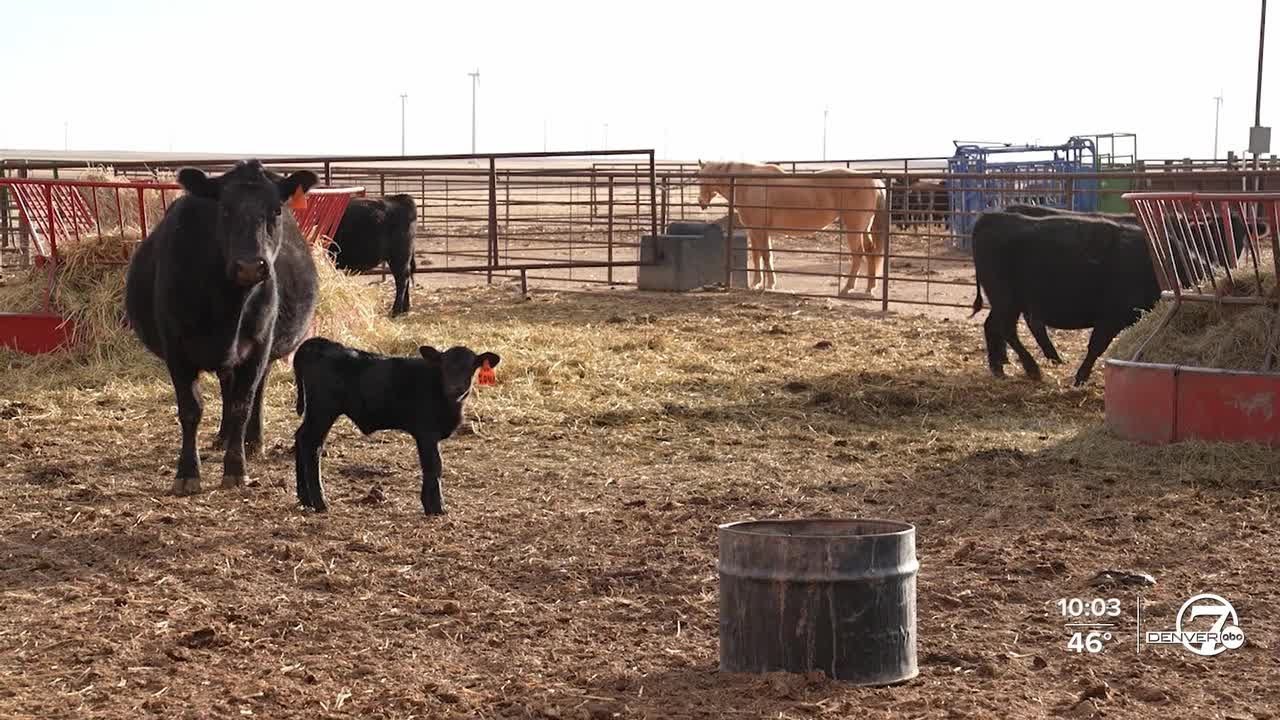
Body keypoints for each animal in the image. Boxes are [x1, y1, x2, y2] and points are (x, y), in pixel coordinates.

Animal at [125, 160, 320, 495]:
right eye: (225, 209)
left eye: (276, 210)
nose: (251, 265)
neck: (228, 305)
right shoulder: (176, 349)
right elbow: (191, 409)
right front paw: (187, 472)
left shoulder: (258, 347)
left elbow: (243, 404)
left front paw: (236, 468)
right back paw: (223, 436)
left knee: (254, 392)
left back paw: (252, 442)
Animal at [291, 337, 500, 515]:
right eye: (445, 366)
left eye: (470, 366)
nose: (456, 388)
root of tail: (323, 344)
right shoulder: (426, 433)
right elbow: (434, 466)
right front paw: (436, 507)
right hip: (323, 411)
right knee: (312, 446)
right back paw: (320, 502)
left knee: (300, 438)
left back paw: (305, 499)